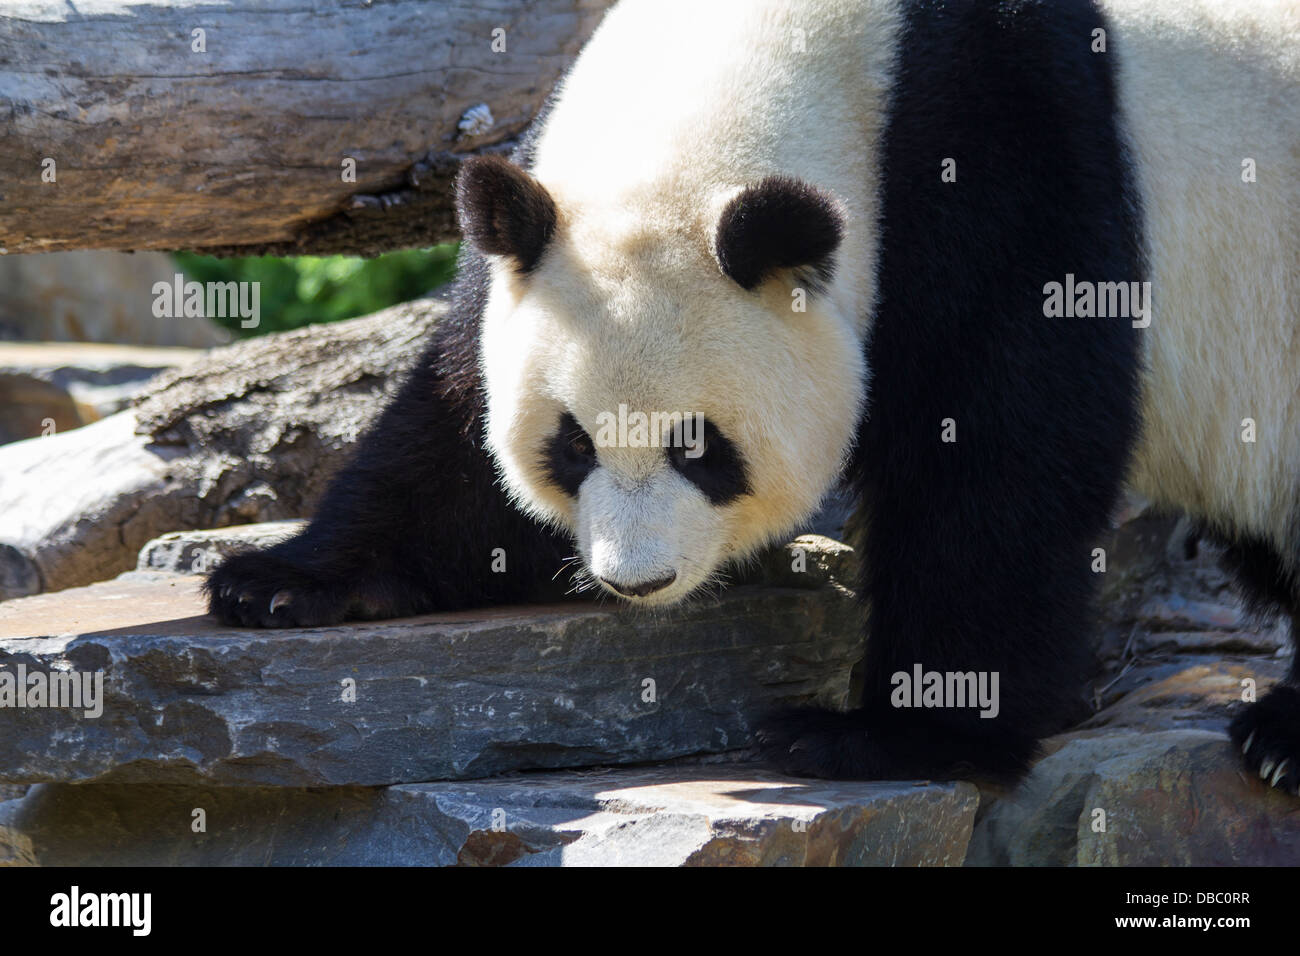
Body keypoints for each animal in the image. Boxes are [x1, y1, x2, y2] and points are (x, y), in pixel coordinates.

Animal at [207, 0, 1300, 787]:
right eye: (572, 445)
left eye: (701, 446)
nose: (635, 581)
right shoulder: (540, 230)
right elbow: (451, 422)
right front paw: (282, 582)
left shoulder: (1009, 167)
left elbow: (1001, 455)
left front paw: (879, 737)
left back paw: (1278, 741)